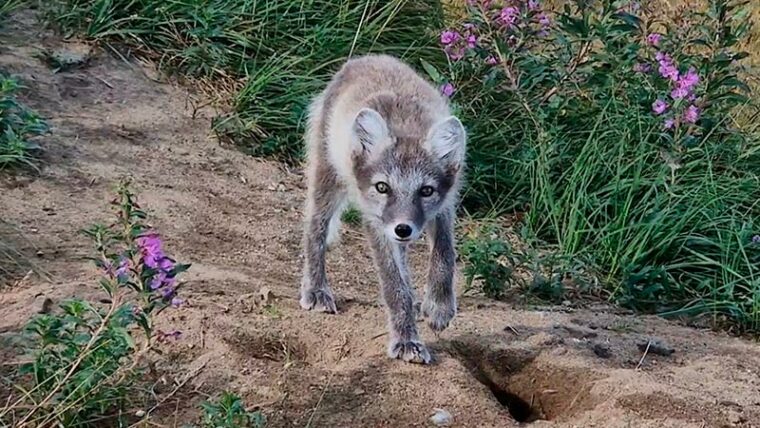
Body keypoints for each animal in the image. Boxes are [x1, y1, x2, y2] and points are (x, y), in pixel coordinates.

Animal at [298, 52, 466, 362]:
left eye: (426, 191)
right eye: (382, 187)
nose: (403, 229)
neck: (408, 125)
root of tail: (365, 57)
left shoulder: (445, 205)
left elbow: (444, 254)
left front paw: (439, 306)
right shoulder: (376, 223)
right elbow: (394, 286)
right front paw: (407, 340)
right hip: (328, 178)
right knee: (315, 229)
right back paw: (316, 289)